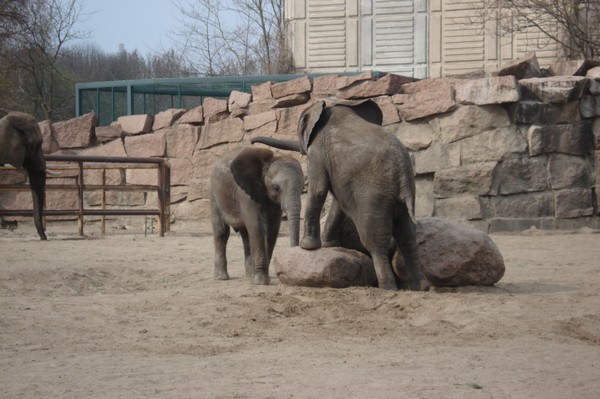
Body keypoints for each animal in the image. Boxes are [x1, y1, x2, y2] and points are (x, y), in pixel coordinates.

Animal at [211, 145, 304, 286]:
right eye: (276, 187)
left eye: (302, 187)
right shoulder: (245, 193)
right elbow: (257, 226)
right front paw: (260, 282)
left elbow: (272, 230)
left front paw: (259, 278)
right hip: (214, 194)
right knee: (221, 232)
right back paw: (221, 278)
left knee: (246, 235)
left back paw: (249, 275)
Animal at [251, 98, 424, 290]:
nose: (252, 142)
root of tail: (403, 174)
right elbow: (339, 202)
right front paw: (329, 245)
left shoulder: (317, 150)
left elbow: (318, 189)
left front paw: (307, 247)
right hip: (403, 192)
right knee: (407, 237)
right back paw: (419, 287)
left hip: (375, 196)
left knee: (375, 240)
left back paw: (388, 288)